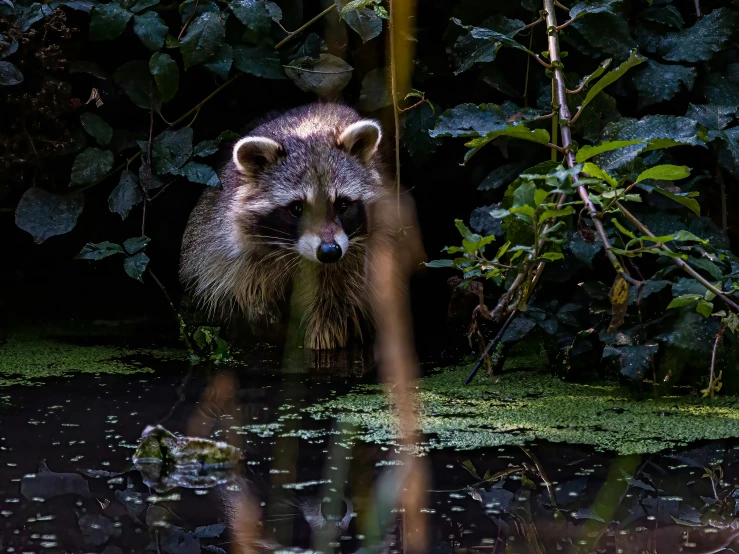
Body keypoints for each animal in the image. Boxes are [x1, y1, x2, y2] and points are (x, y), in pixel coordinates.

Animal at [176, 103, 414, 350]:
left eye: (342, 205)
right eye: (297, 208)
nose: (330, 251)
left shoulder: (357, 262)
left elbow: (334, 306)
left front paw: (320, 339)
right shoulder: (227, 246)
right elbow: (238, 283)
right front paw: (259, 313)